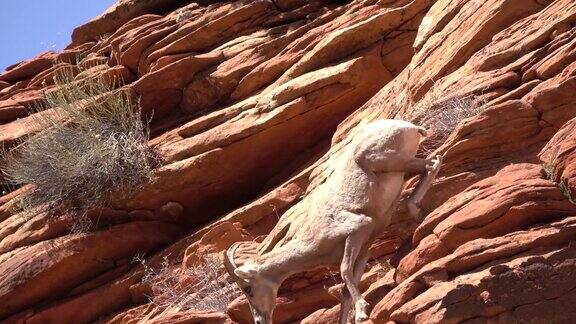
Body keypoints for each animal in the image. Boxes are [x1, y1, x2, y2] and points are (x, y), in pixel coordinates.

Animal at [225, 119, 440, 324]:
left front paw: (362, 312)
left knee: (432, 164)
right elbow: (345, 290)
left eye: (248, 288)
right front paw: (357, 316)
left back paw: (417, 211)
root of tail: (408, 126)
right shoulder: (363, 249)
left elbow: (344, 272)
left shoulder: (358, 230)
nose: (259, 320)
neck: (312, 240)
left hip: (384, 160)